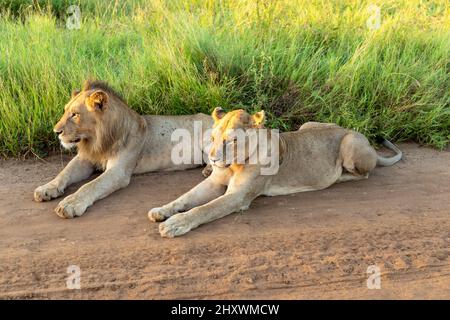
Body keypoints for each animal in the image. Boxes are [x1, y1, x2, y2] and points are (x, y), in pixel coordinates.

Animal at [33, 81, 213, 219]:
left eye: (75, 114)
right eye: (65, 111)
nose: (56, 132)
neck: (97, 141)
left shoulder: (118, 171)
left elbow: (91, 185)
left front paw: (70, 204)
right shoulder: (85, 159)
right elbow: (65, 172)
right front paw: (46, 189)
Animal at [149, 107, 402, 238]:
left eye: (232, 140)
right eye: (212, 137)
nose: (212, 158)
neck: (235, 163)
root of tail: (351, 130)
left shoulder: (238, 197)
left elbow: (204, 209)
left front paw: (175, 224)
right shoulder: (215, 183)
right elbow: (185, 198)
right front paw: (161, 211)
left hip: (349, 145)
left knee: (363, 174)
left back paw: (338, 177)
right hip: (307, 124)